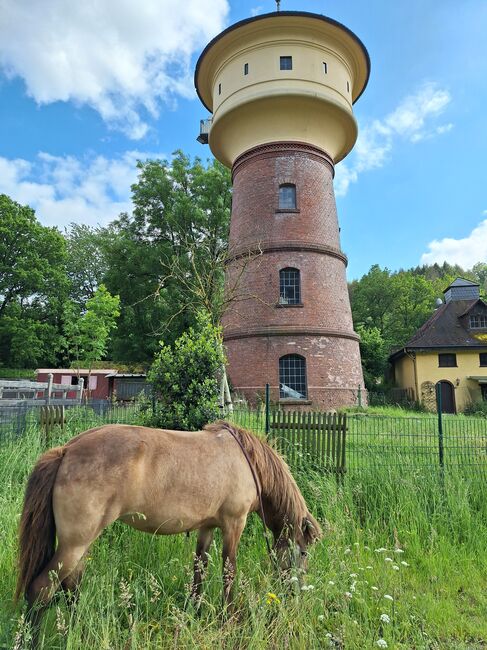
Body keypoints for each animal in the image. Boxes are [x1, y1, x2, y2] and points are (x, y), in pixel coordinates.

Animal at [15, 420, 322, 636]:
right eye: (304, 553)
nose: (297, 593)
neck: (246, 460)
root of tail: (67, 451)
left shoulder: (207, 528)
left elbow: (200, 570)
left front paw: (194, 612)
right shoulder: (234, 524)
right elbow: (228, 571)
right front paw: (228, 618)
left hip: (81, 544)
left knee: (71, 585)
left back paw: (77, 628)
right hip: (75, 543)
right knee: (41, 589)